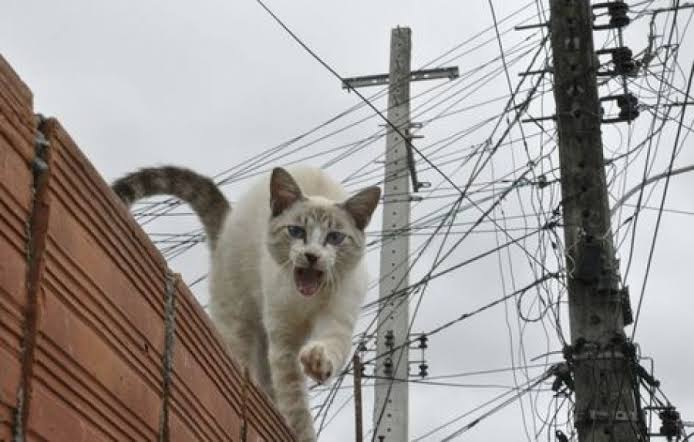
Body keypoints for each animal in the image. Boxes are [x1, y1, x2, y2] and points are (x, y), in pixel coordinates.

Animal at [113, 164, 380, 440]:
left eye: (335, 238)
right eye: (296, 232)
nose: (312, 256)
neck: (305, 300)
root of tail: (228, 223)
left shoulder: (336, 320)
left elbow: (331, 346)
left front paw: (318, 362)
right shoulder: (283, 341)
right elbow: (294, 401)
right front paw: (302, 432)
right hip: (240, 321)